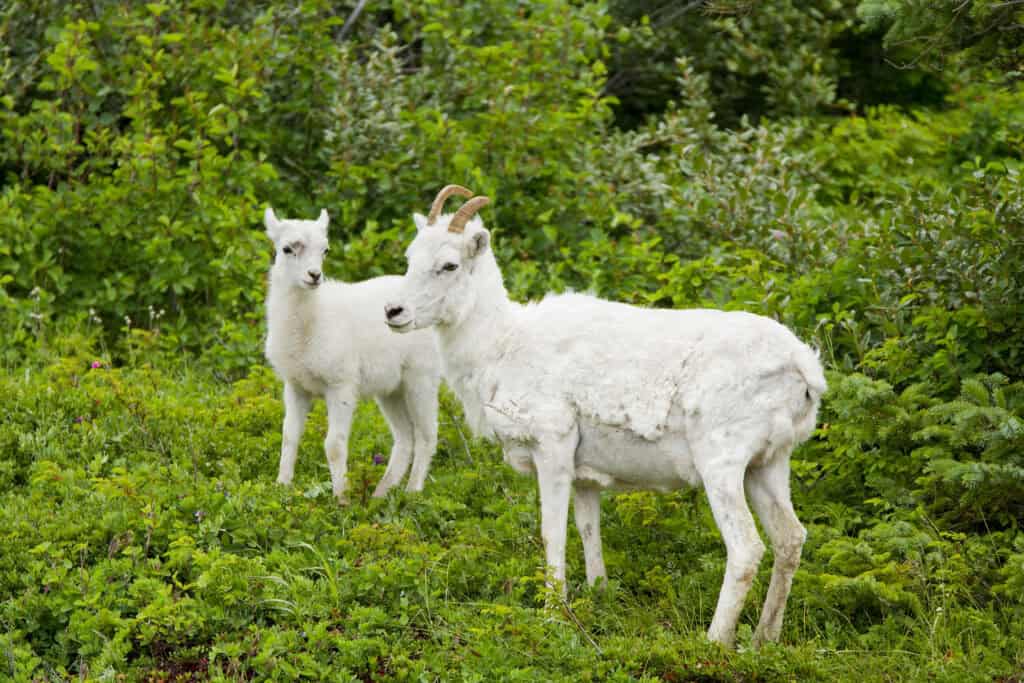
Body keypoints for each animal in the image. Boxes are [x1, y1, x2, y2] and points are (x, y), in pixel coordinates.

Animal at [263, 207, 441, 502]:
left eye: (325, 249)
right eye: (287, 248)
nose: (314, 275)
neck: (311, 320)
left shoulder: (341, 384)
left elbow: (334, 444)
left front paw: (342, 499)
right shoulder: (295, 385)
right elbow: (289, 436)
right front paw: (282, 488)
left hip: (421, 376)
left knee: (427, 434)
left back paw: (411, 493)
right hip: (391, 388)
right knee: (405, 437)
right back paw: (381, 493)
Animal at [383, 186, 826, 648]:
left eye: (449, 265)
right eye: (411, 256)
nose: (393, 312)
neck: (502, 345)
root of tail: (802, 367)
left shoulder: (553, 448)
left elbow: (552, 532)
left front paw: (552, 614)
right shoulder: (586, 476)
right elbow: (587, 530)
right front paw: (599, 597)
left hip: (722, 465)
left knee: (746, 548)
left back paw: (714, 641)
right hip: (767, 465)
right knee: (790, 538)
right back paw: (764, 639)